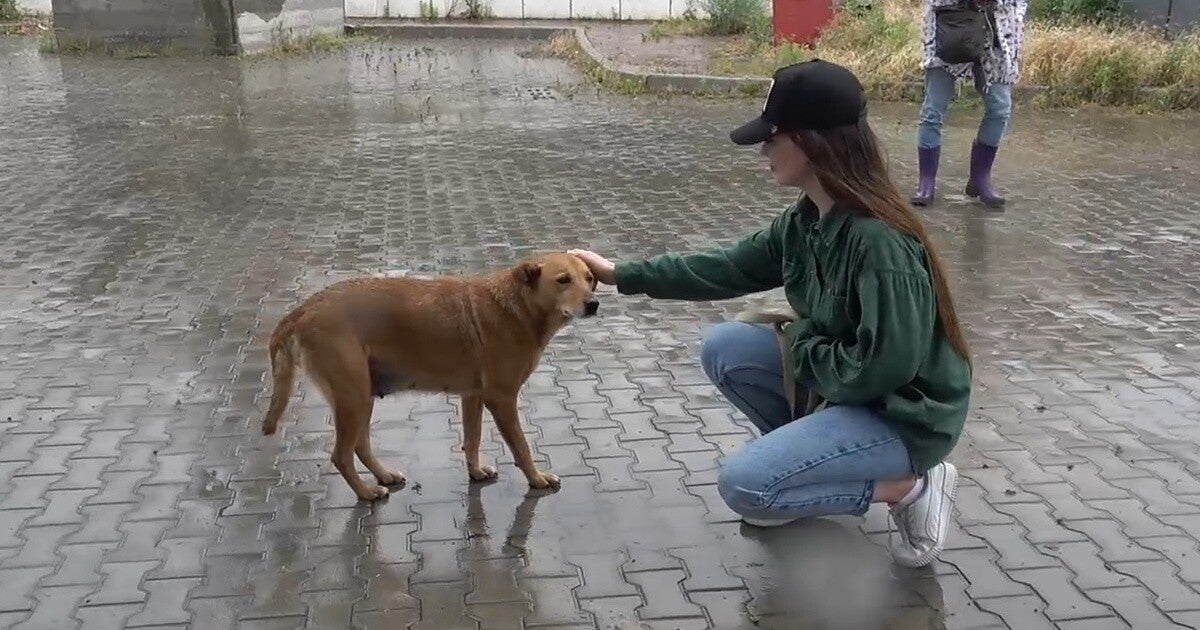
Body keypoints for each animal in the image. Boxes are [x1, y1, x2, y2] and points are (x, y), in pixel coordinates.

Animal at [262, 253, 600, 499]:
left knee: (359, 446)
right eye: (563, 280)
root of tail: (303, 310)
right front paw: (536, 478)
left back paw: (383, 475)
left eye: (589, 279)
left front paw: (475, 471)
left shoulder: (473, 396)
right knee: (341, 456)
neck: (518, 305)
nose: (594, 304)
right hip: (352, 397)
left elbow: (472, 439)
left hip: (363, 395)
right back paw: (366, 492)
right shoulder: (501, 399)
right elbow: (521, 446)